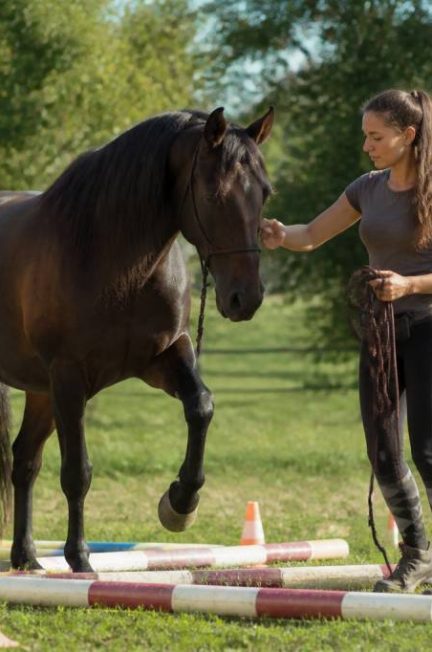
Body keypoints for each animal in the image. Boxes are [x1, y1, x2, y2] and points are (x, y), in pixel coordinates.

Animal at [0, 106, 274, 572]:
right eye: (213, 194)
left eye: (265, 194)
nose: (246, 297)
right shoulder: (69, 377)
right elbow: (77, 472)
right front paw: (80, 560)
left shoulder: (164, 357)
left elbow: (201, 407)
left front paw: (180, 503)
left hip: (39, 391)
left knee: (25, 461)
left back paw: (27, 558)